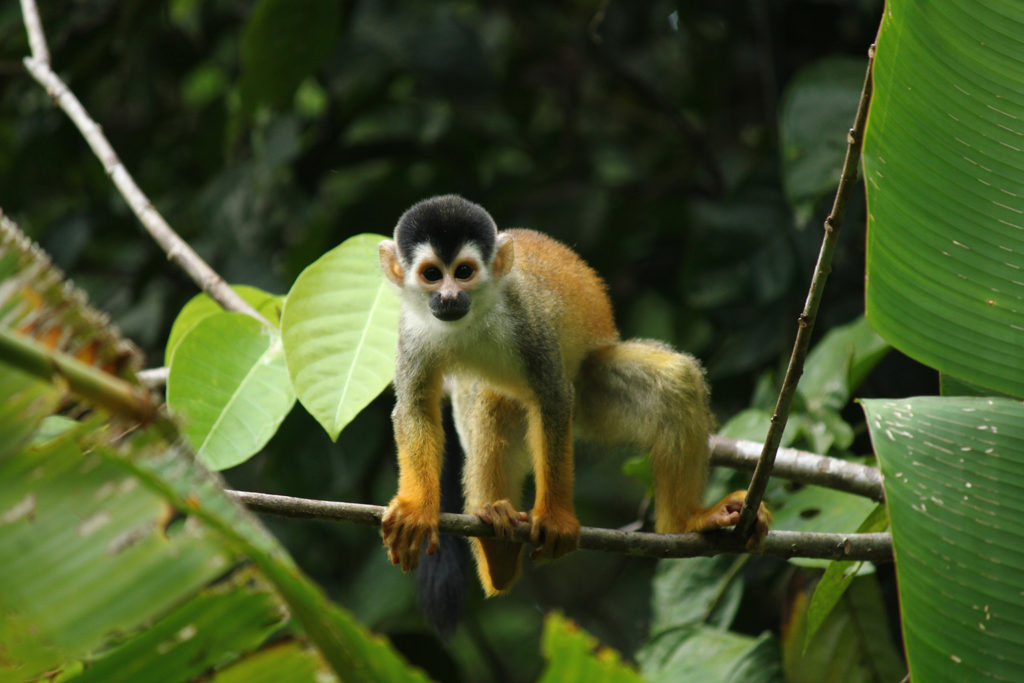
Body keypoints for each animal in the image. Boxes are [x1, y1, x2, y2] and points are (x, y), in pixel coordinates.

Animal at [378, 194, 770, 593]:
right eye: (431, 275)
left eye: (463, 272)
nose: (449, 296)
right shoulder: (411, 331)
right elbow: (415, 408)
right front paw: (418, 508)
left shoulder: (527, 317)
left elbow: (551, 398)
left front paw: (554, 519)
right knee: (492, 402)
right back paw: (497, 549)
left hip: (587, 390)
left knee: (676, 381)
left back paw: (686, 521)